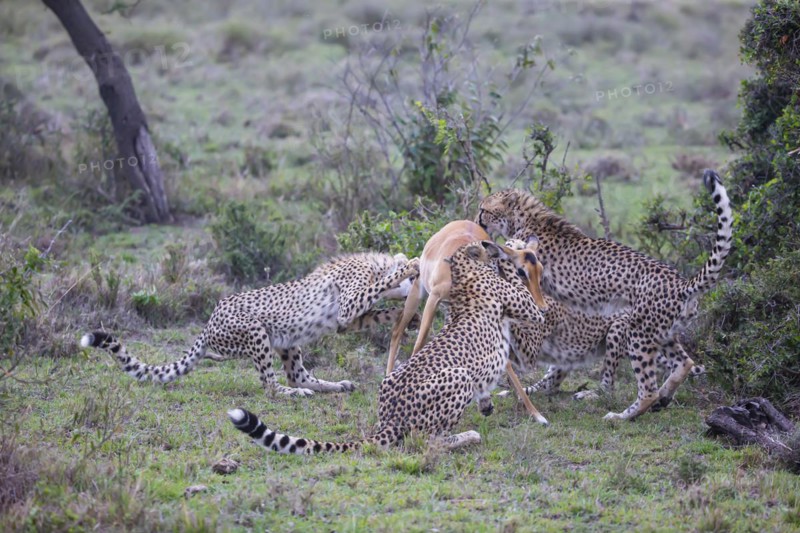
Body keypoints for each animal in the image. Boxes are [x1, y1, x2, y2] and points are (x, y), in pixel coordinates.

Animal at [81, 252, 420, 397]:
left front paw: (409, 315)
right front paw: (410, 267)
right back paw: (290, 394)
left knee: (297, 375)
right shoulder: (349, 306)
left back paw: (332, 385)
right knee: (269, 384)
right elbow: (378, 288)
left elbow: (377, 312)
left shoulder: (345, 320)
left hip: (286, 341)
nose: (415, 287)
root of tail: (209, 320)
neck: (375, 263)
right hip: (255, 332)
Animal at [228, 240, 546, 454]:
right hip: (458, 376)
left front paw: (487, 402)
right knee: (424, 439)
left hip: (391, 379)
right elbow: (530, 301)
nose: (490, 243)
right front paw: (514, 253)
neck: (462, 270)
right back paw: (468, 437)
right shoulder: (529, 312)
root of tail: (389, 418)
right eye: (481, 245)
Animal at [477, 169, 732, 420]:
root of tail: (681, 283)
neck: (524, 218)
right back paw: (664, 396)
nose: (477, 219)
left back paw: (620, 414)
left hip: (636, 333)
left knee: (641, 389)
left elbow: (511, 256)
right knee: (684, 364)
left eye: (484, 210)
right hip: (663, 334)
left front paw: (499, 249)